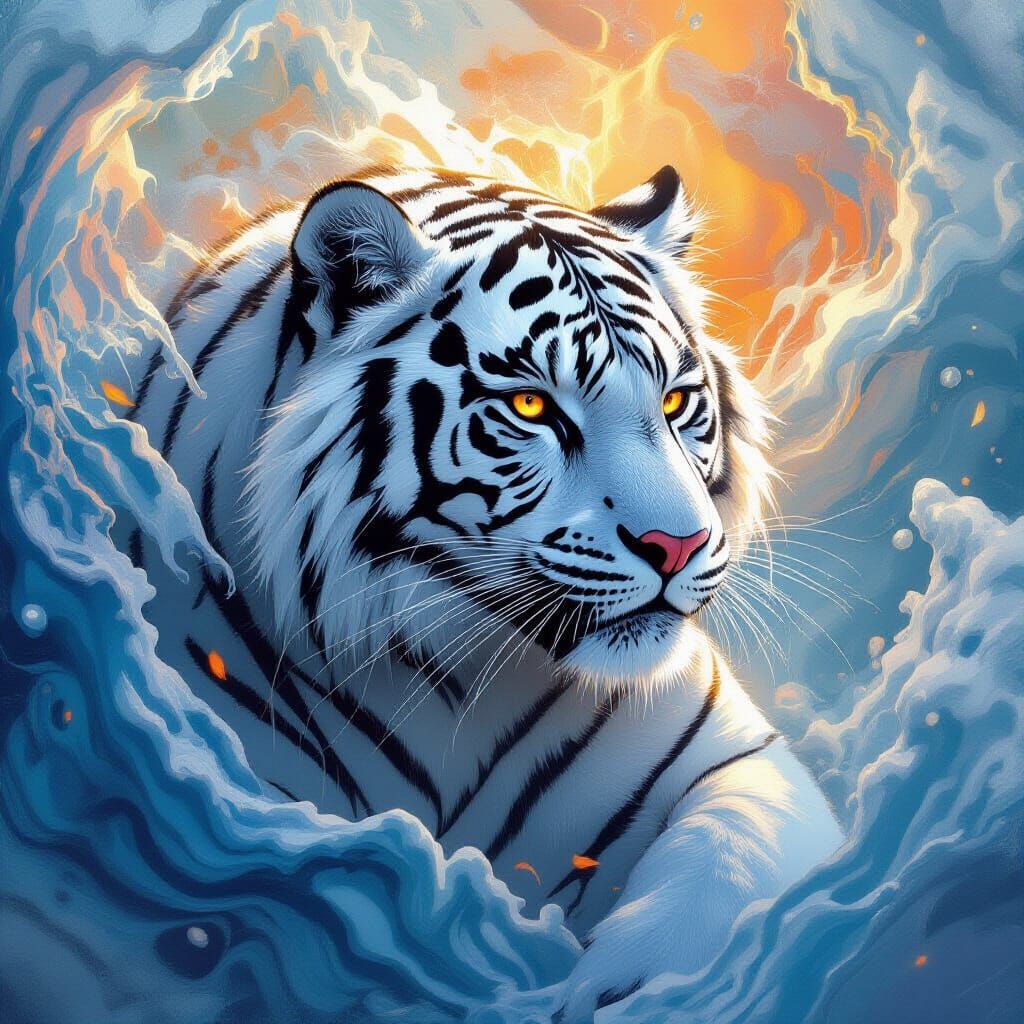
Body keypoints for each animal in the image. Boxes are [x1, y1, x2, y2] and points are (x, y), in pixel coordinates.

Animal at [122, 164, 843, 1019]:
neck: (453, 682)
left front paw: (634, 990)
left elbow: (728, 860)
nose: (679, 545)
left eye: (674, 402)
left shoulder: (736, 758)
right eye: (532, 406)